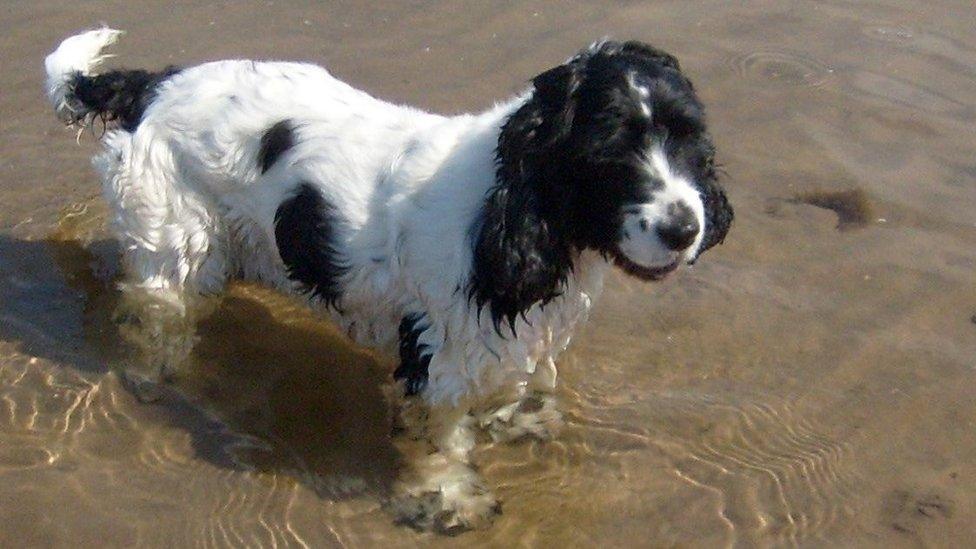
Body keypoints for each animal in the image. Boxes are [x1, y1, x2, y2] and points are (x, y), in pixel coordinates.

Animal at [45, 27, 732, 532]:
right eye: (611, 152)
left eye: (691, 139)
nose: (686, 227)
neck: (508, 201)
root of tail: (151, 84)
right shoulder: (437, 353)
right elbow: (440, 441)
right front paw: (447, 501)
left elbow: (517, 387)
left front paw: (517, 420)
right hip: (173, 237)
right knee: (155, 309)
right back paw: (157, 373)